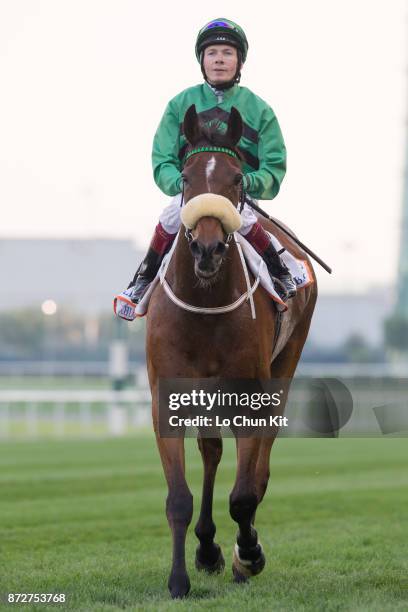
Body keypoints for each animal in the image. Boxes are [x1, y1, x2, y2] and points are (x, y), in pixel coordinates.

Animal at [145, 103, 318, 596]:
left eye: (238, 178)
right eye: (185, 178)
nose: (207, 248)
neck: (206, 306)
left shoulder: (250, 395)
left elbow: (243, 495)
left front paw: (250, 554)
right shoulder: (168, 396)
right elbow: (179, 498)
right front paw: (180, 579)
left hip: (285, 367)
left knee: (258, 470)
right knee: (211, 452)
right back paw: (207, 547)